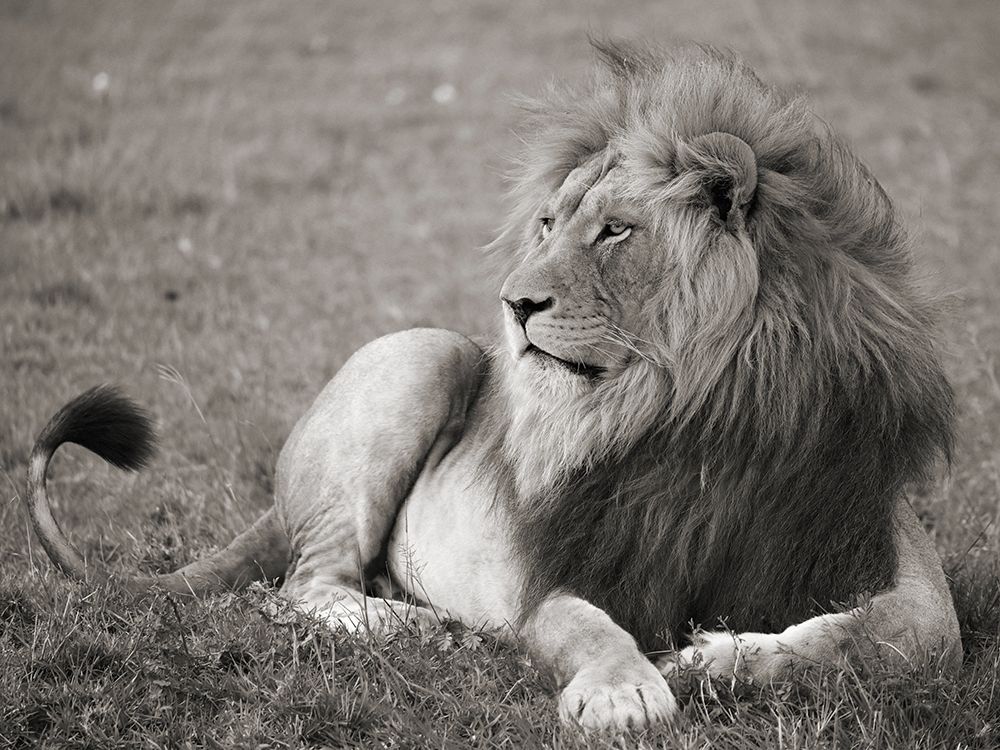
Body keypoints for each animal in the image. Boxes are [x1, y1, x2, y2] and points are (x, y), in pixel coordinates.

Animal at [25, 42, 961, 731]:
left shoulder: (858, 529)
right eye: (547, 223)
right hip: (424, 352)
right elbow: (588, 626)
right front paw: (625, 690)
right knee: (298, 588)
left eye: (615, 231)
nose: (514, 303)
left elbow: (902, 635)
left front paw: (721, 659)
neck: (695, 410)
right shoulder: (565, 570)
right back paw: (417, 626)